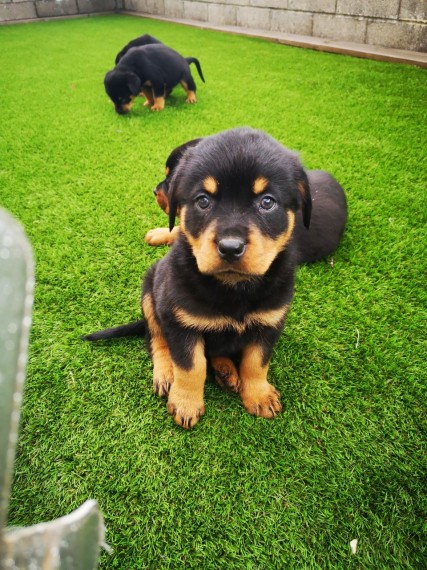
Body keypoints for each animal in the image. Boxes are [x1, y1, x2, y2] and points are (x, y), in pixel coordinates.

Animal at [83, 126, 348, 426]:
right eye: (203, 201)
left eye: (267, 202)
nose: (230, 247)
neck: (233, 288)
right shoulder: (179, 320)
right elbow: (191, 365)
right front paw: (186, 403)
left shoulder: (270, 322)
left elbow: (256, 362)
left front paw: (259, 396)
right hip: (150, 291)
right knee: (155, 338)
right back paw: (166, 373)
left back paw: (226, 372)